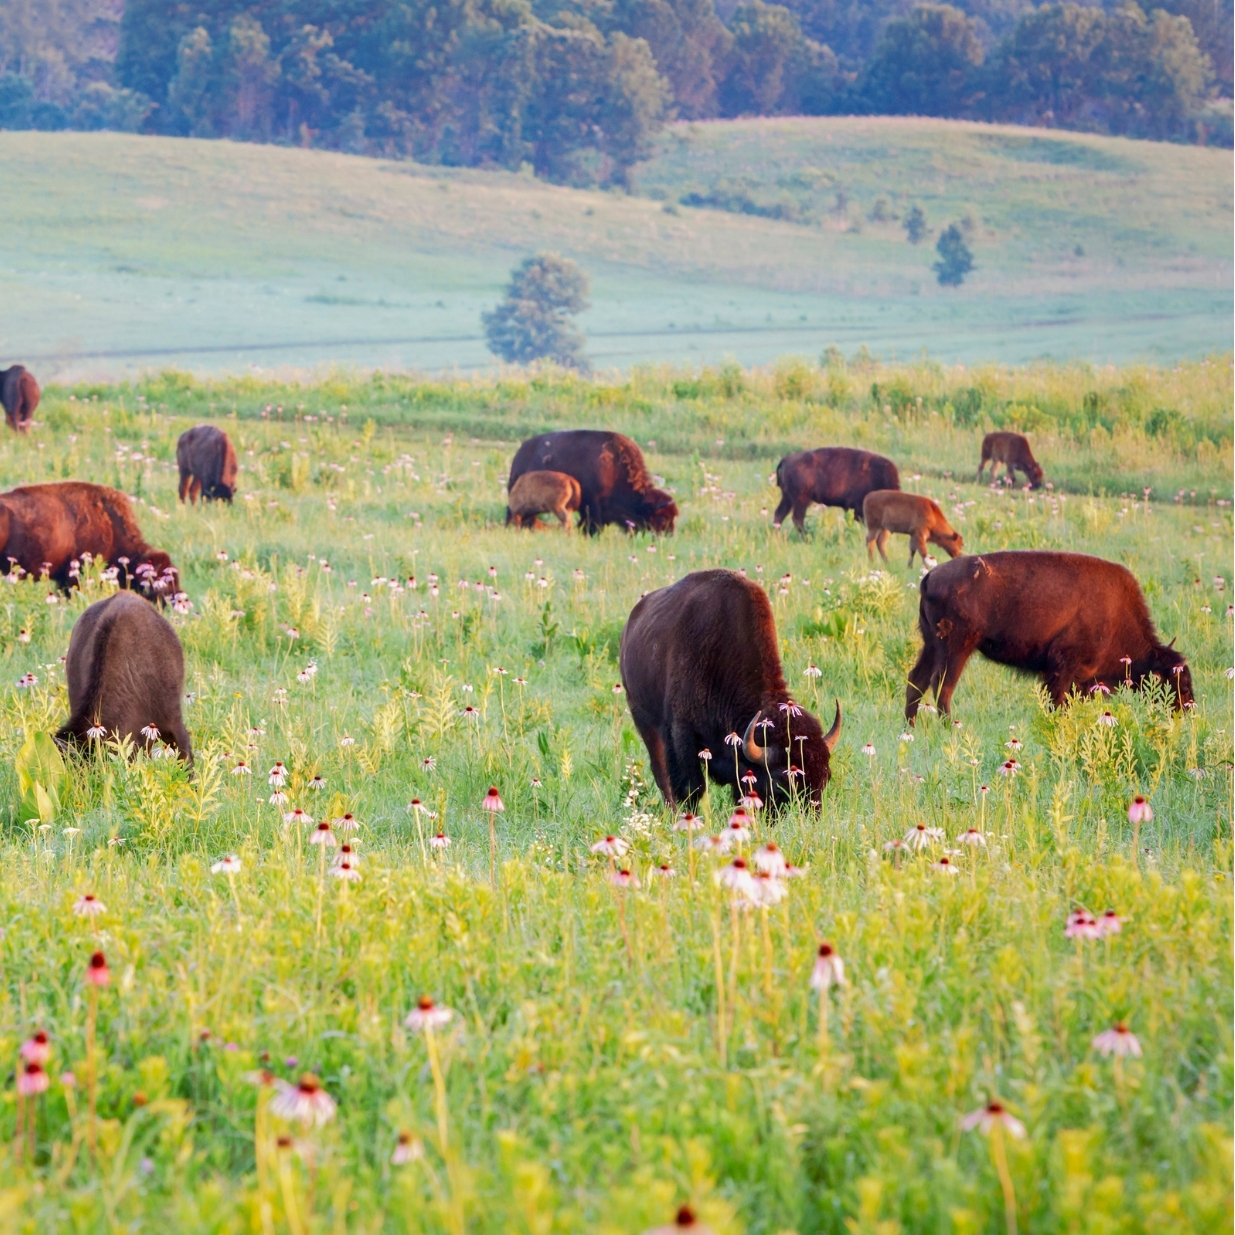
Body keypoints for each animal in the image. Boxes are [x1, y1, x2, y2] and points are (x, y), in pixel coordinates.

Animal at [620, 569, 841, 809]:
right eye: (780, 782)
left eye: (825, 777)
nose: (809, 813)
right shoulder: (681, 733)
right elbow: (691, 787)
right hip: (643, 718)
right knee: (660, 772)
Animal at [905, 551, 1192, 721]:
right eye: (1179, 682)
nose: (1186, 710)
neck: (1116, 614)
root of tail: (931, 576)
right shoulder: (1062, 668)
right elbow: (1057, 702)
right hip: (956, 648)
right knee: (942, 687)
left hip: (932, 645)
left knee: (917, 681)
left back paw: (910, 727)